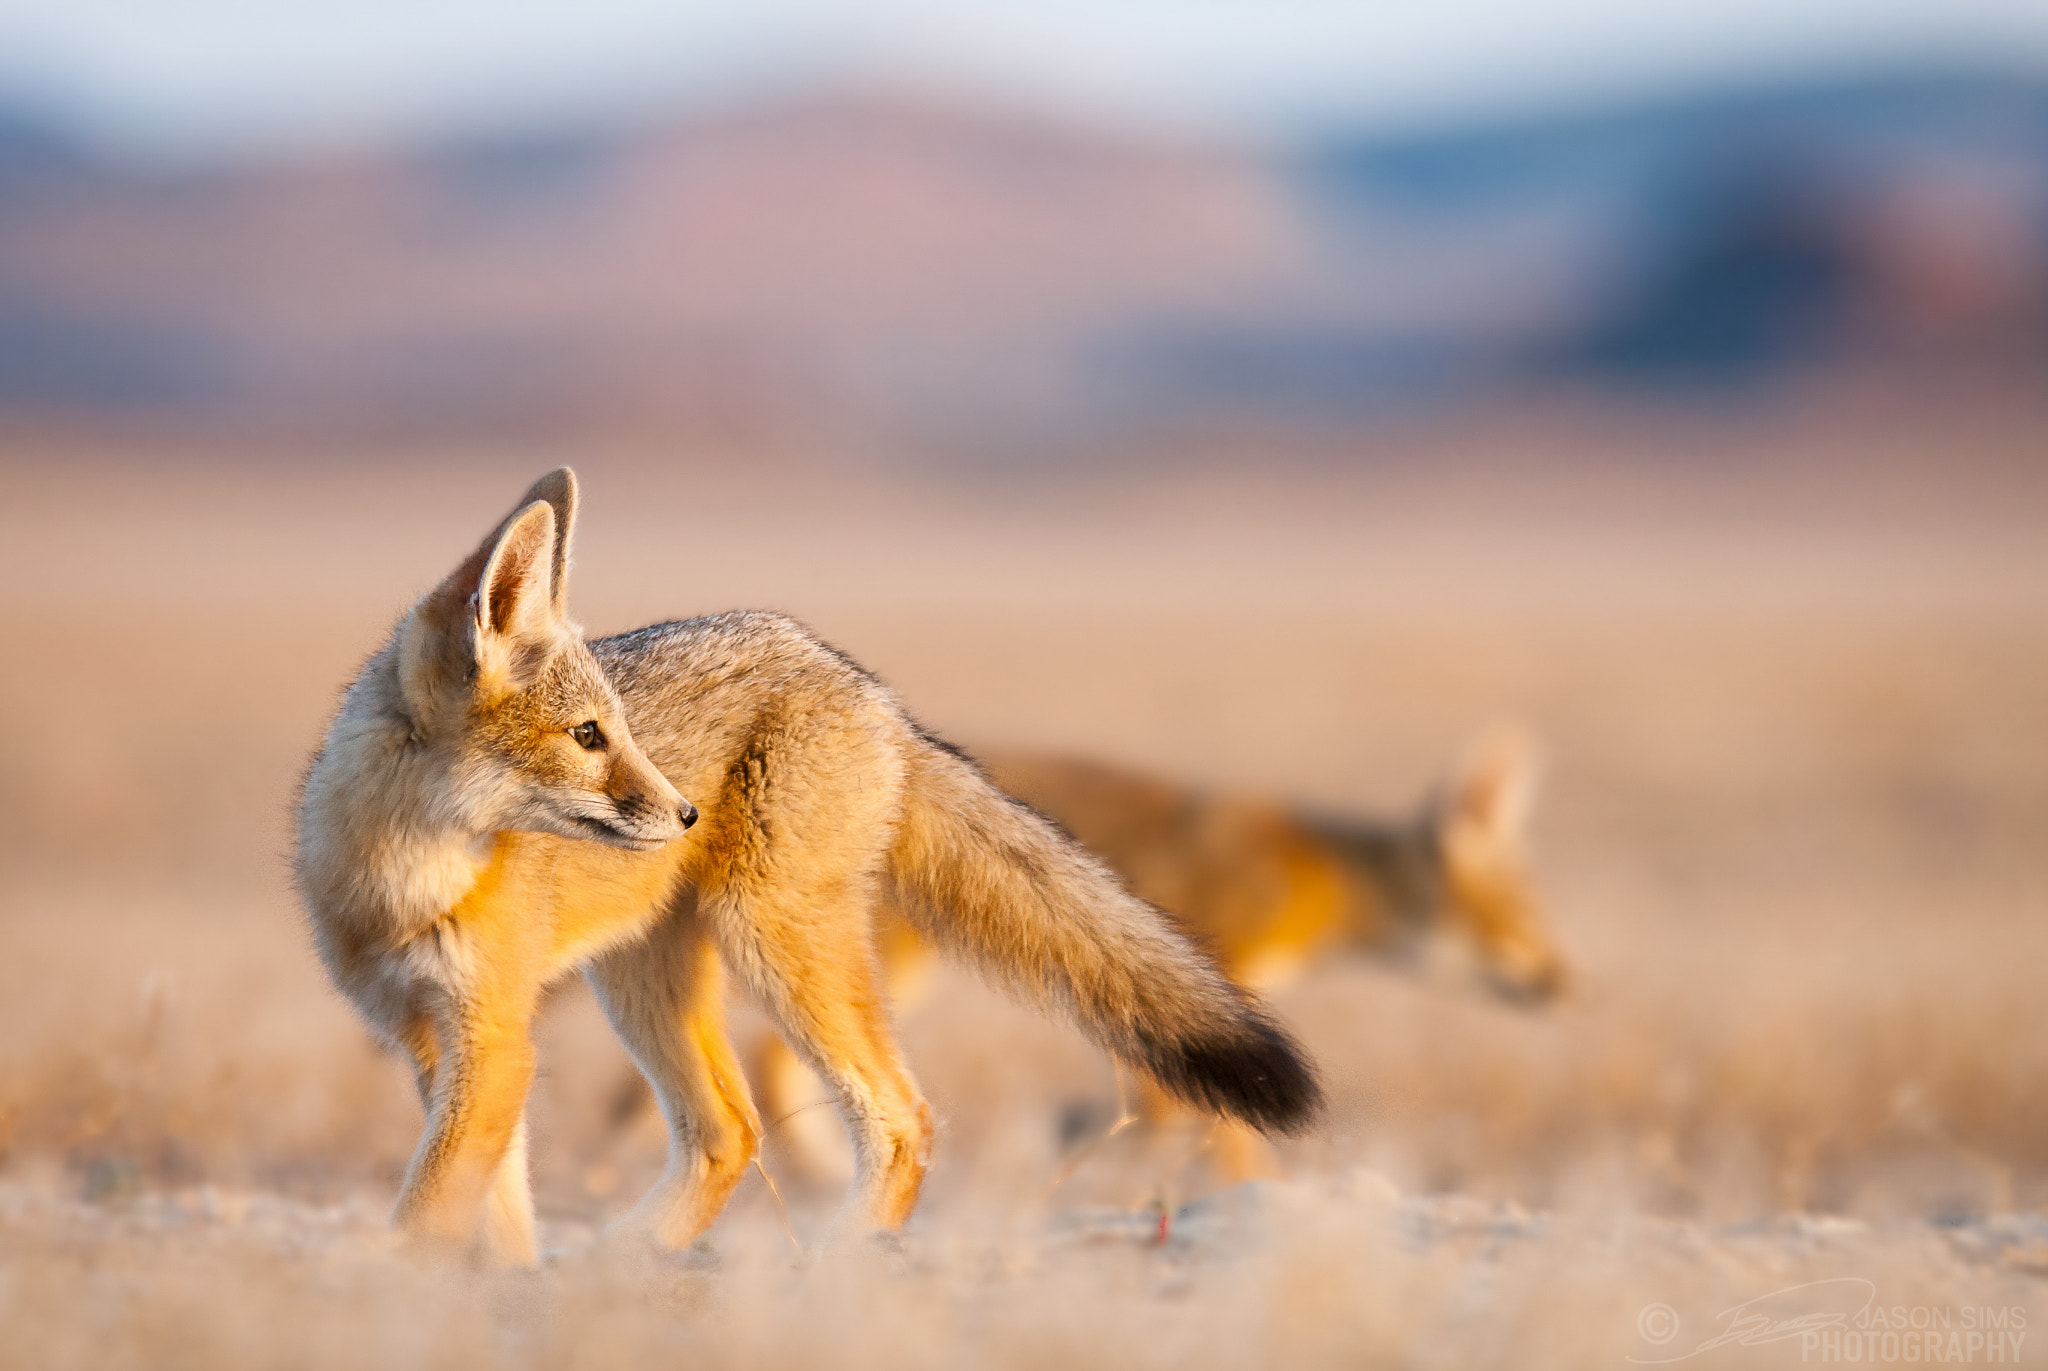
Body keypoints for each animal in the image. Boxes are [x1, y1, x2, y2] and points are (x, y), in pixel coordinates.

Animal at [292, 468, 1319, 1265]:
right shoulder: (436, 1041)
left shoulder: (496, 1036)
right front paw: (501, 1292)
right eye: (588, 736)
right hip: (644, 973)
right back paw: (629, 1264)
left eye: (616, 730)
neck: (401, 875)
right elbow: (490, 1211)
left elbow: (428, 1210)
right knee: (729, 1131)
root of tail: (874, 692)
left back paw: (833, 1267)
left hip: (770, 939)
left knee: (900, 1118)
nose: (683, 811)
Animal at [720, 732, 1564, 1184]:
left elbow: (1167, 1115)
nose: (1563, 981)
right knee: (772, 1055)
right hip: (883, 967)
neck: (1317, 875)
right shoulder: (1210, 983)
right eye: (1520, 917)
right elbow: (1213, 1129)